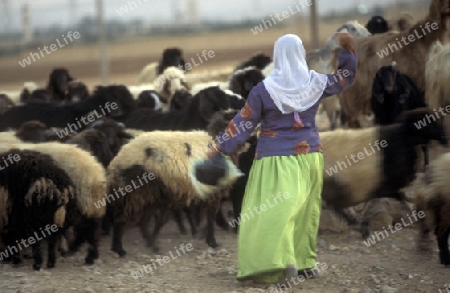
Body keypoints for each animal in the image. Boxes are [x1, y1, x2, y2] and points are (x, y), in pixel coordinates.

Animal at [0, 133, 106, 264]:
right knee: (91, 228)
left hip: (80, 205)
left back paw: (85, 255)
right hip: (89, 206)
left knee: (87, 229)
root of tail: (95, 174)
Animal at [318, 108, 448, 237]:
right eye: (429, 123)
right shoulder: (386, 186)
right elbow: (400, 198)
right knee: (335, 206)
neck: (403, 139)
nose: (444, 138)